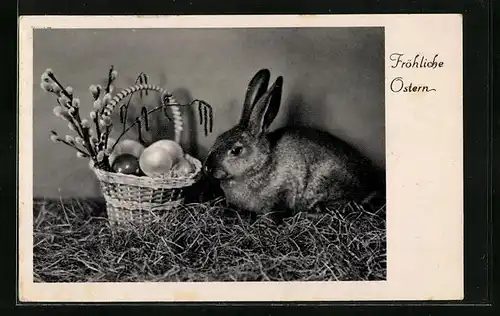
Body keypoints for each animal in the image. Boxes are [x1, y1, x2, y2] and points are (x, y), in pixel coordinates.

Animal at [203, 68, 386, 217]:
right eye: (218, 138)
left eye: (236, 150)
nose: (207, 167)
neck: (261, 166)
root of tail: (372, 186)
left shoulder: (281, 193)